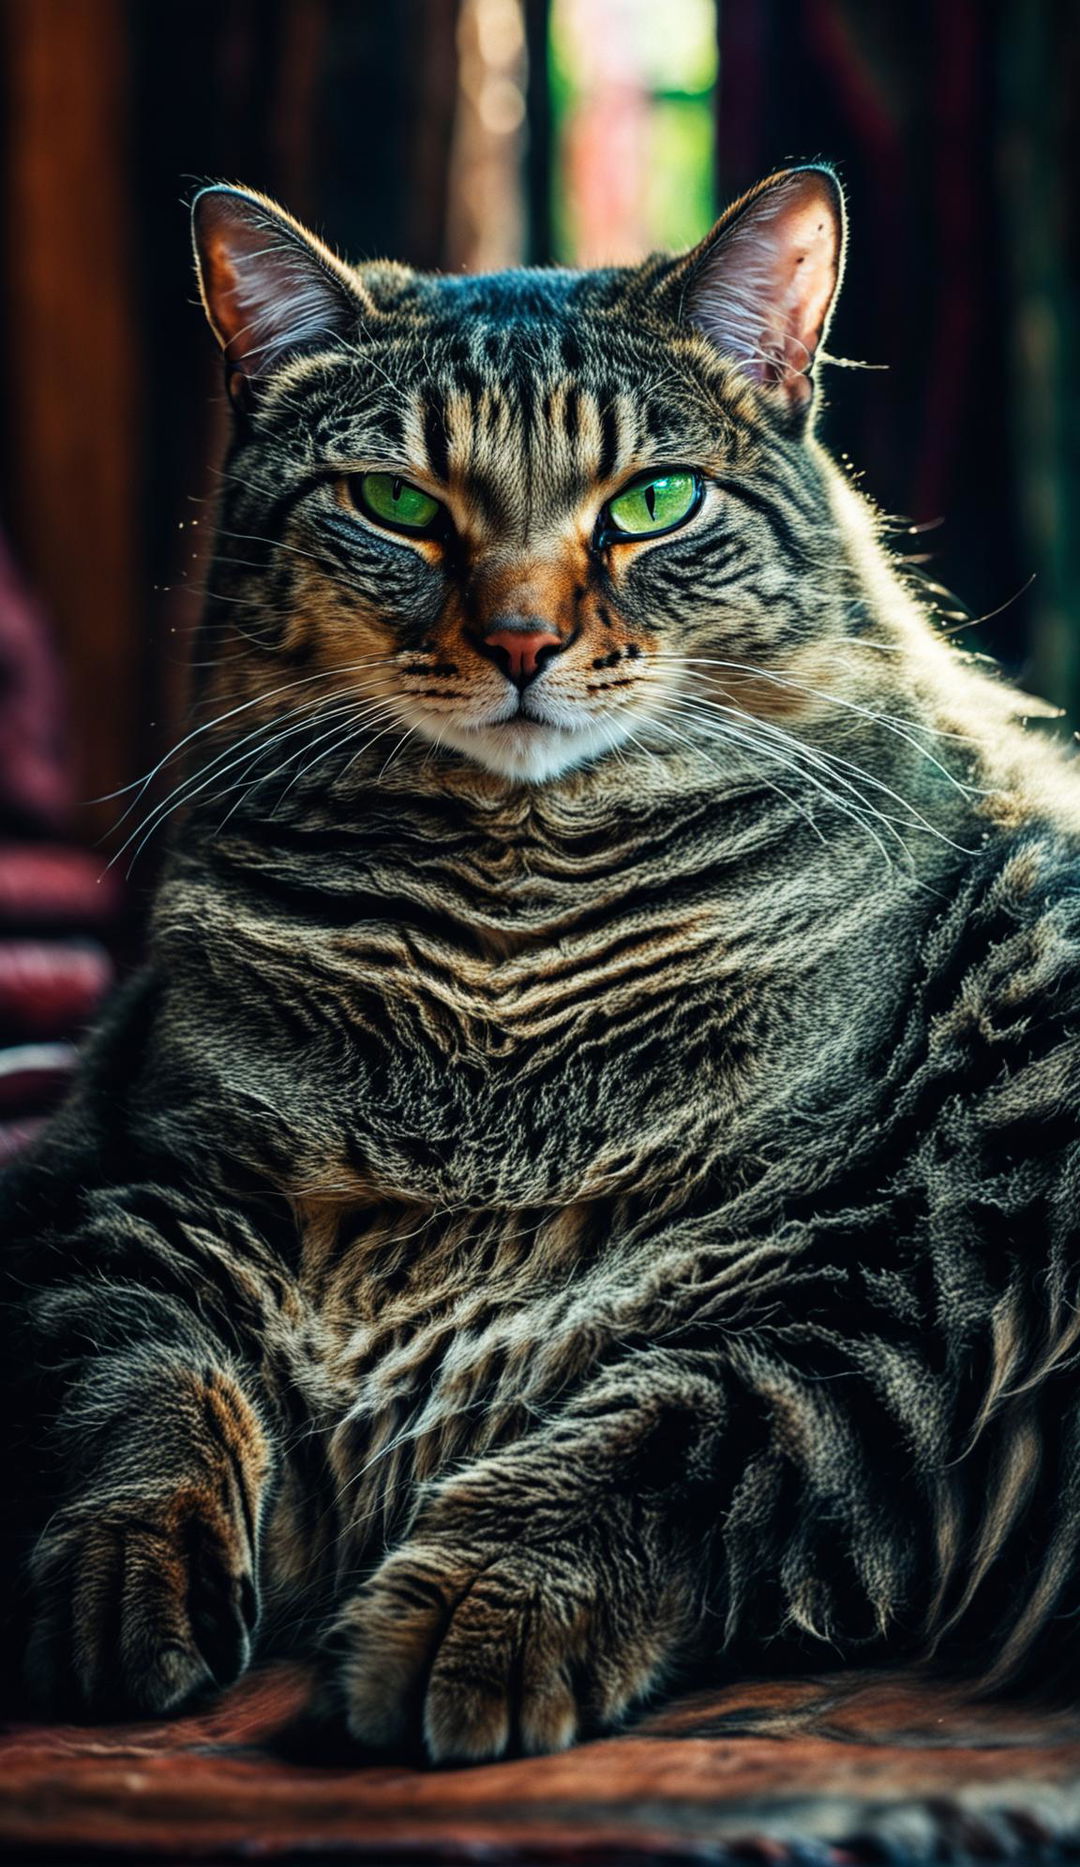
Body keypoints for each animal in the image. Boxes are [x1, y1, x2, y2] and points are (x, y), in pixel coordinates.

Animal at [2, 168, 1076, 1754]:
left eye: (651, 503)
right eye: (397, 503)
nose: (520, 638)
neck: (503, 959)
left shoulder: (887, 1268)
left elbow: (677, 1425)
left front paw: (475, 1611)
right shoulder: (119, 1175)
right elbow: (141, 1382)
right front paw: (111, 1586)